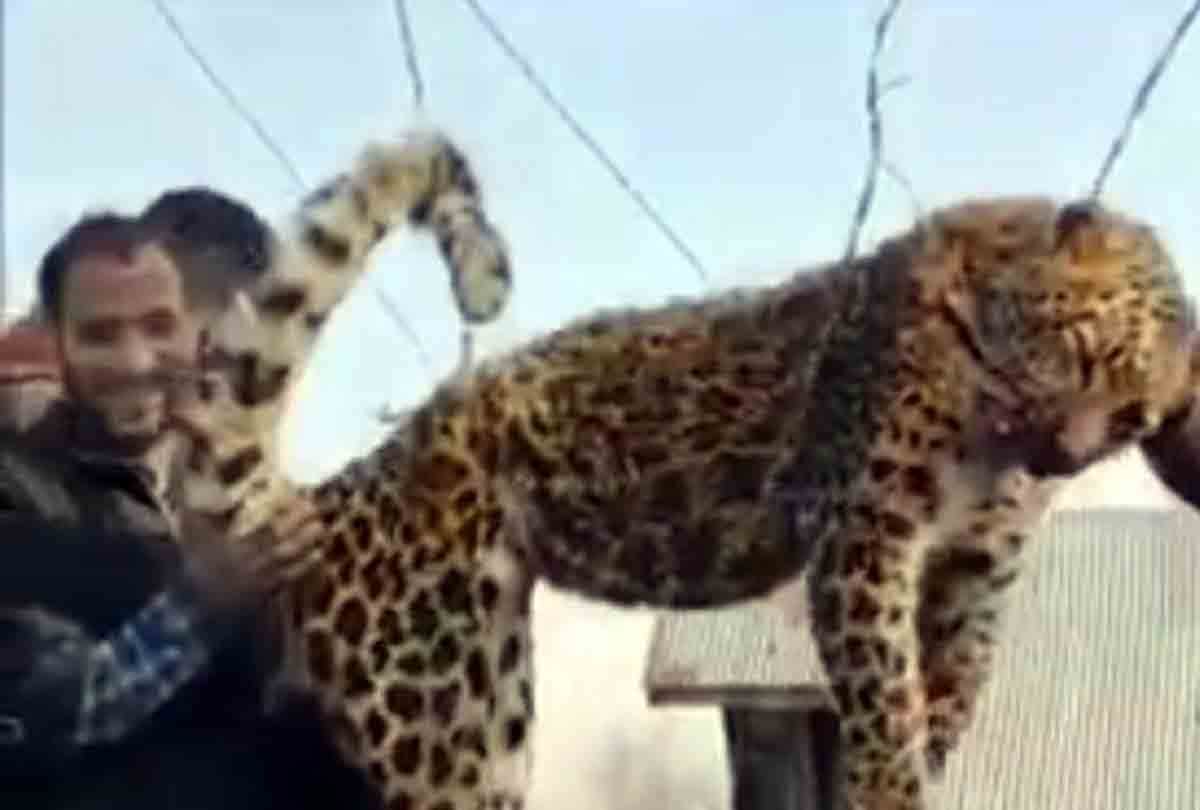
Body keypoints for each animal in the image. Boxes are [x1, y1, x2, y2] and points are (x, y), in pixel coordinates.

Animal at [178, 191, 1200, 810]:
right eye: (1085, 355)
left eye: (1134, 420)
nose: (1062, 455)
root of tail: (334, 497)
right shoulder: (866, 533)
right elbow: (884, 693)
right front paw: (885, 782)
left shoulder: (974, 568)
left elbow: (951, 687)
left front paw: (926, 759)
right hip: (421, 708)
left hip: (485, 698)